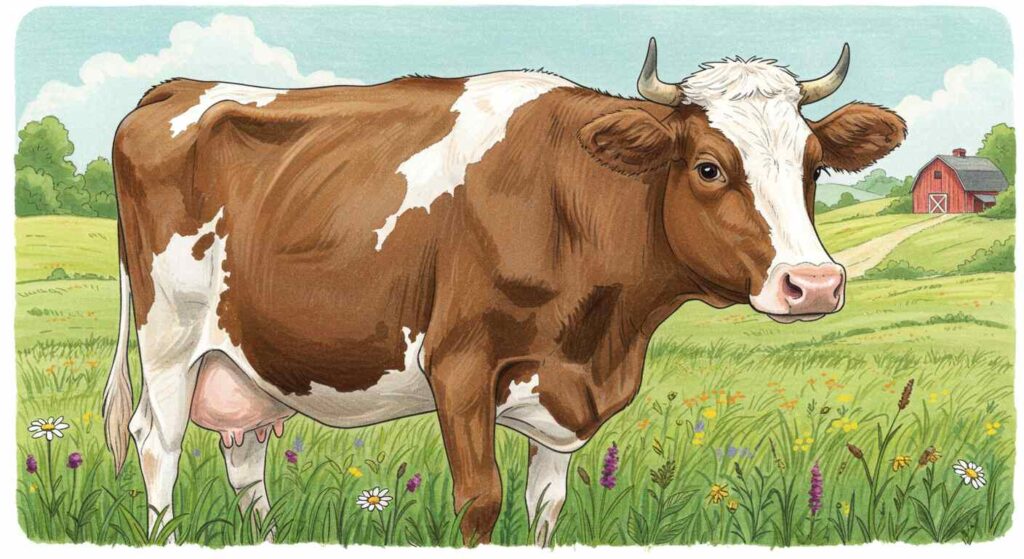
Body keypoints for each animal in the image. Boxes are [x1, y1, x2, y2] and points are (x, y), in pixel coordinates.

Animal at [102, 38, 904, 546]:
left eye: (814, 165)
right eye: (708, 167)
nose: (815, 284)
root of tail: (177, 87)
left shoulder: (560, 389)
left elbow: (545, 507)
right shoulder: (459, 366)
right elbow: (479, 500)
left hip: (247, 361)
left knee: (244, 456)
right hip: (171, 336)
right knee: (158, 442)